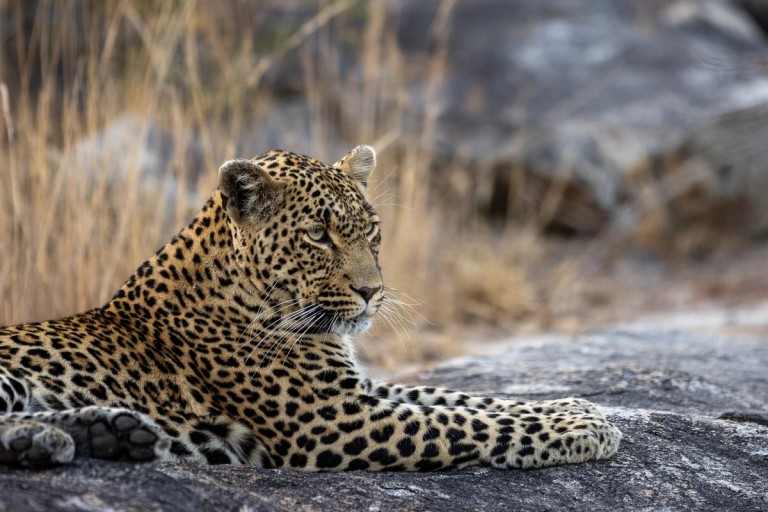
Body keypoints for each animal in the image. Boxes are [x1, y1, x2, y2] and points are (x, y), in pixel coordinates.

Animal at [0, 145, 621, 470]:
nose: (372, 291)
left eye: (371, 231)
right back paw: (64, 437)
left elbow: (460, 398)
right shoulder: (331, 419)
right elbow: (460, 422)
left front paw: (574, 406)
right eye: (318, 236)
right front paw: (582, 430)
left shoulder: (358, 389)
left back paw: (110, 432)